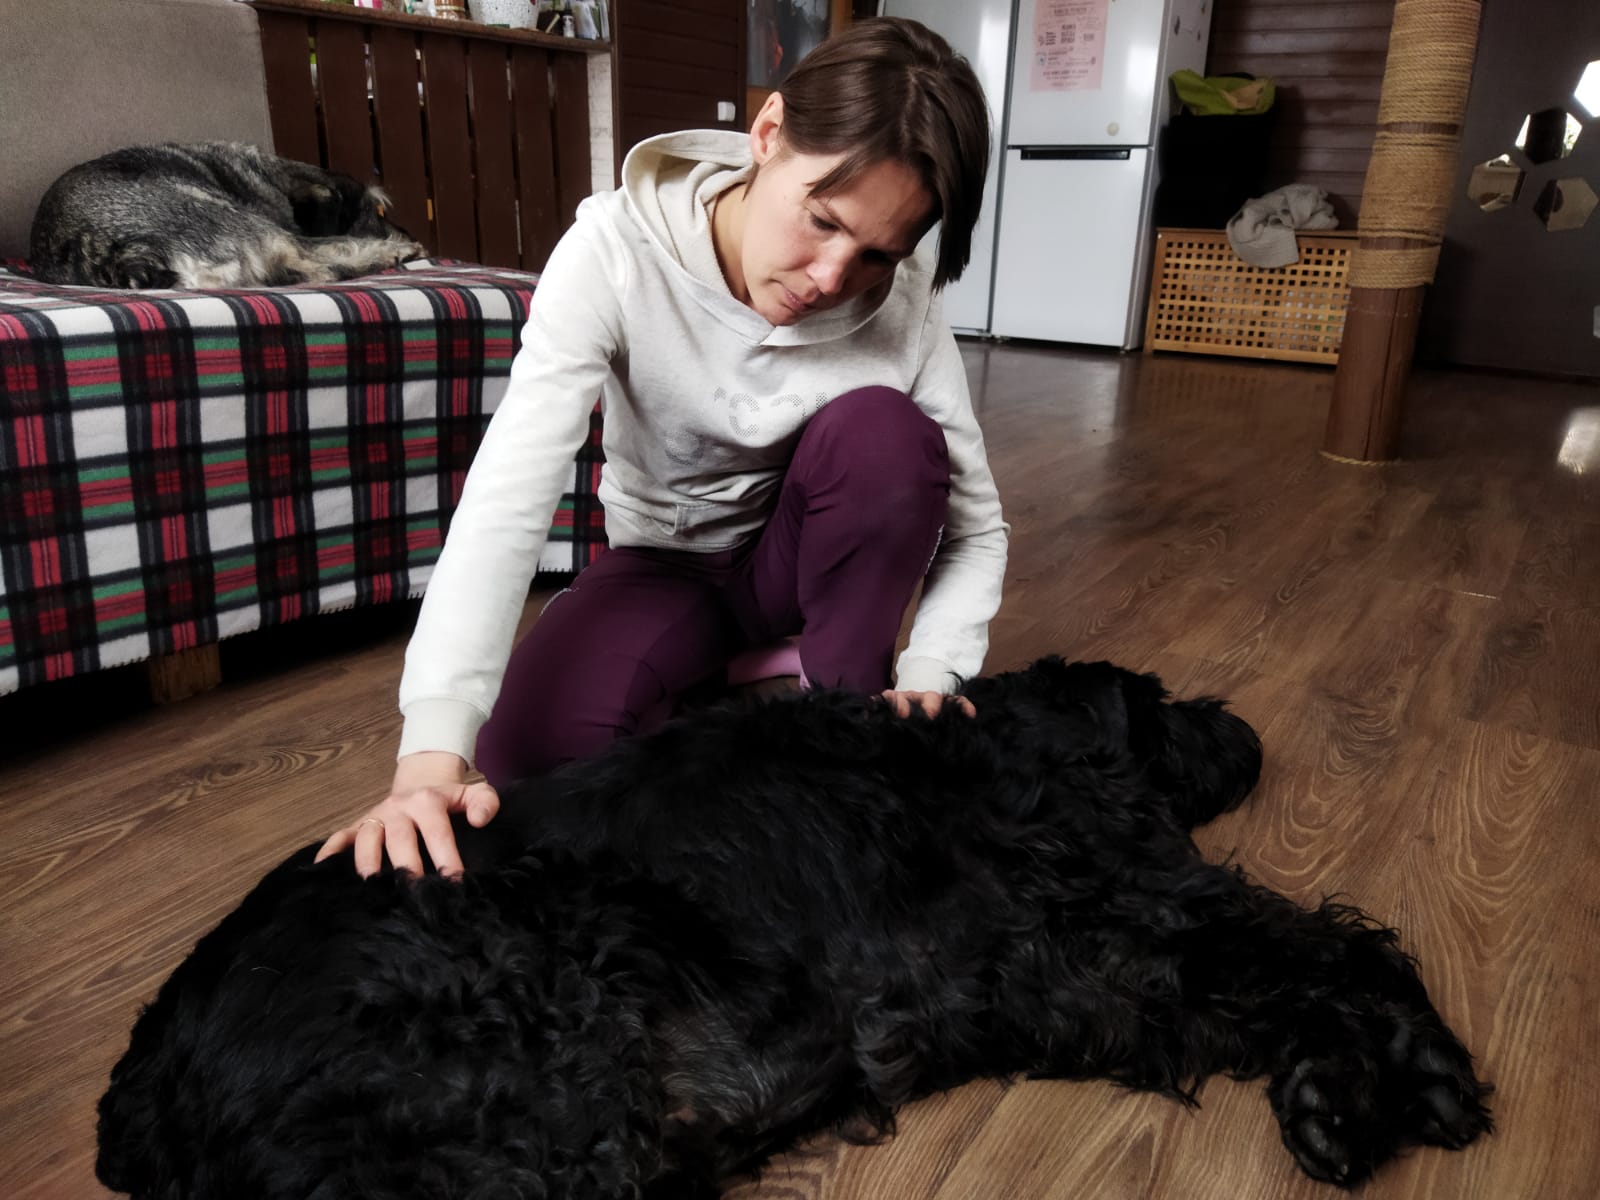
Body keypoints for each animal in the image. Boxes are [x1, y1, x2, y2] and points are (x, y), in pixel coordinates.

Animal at [29, 142, 425, 290]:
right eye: (376, 210)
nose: (406, 232)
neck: (271, 177)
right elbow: (337, 244)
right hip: (241, 222)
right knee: (317, 267)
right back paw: (390, 253)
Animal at [95, 658, 1492, 1198]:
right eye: (1159, 700)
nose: (1239, 729)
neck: (1016, 743)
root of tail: (148, 1084)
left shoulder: (1081, 970)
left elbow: (1269, 982)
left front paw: (1332, 1090)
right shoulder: (1124, 907)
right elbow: (1328, 944)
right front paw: (1415, 1070)